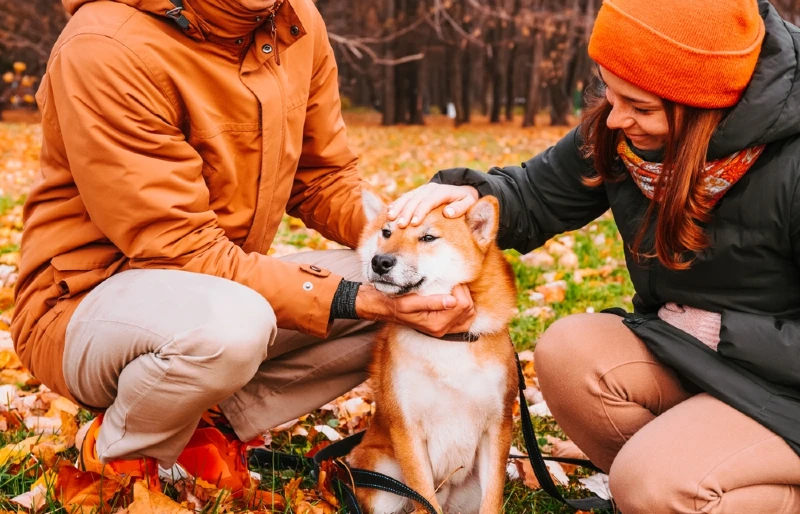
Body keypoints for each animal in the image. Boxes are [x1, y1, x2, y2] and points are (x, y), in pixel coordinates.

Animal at [350, 191, 520, 512]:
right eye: (386, 232)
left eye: (428, 237)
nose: (380, 261)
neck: (446, 341)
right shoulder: (407, 430)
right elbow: (424, 498)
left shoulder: (498, 426)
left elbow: (493, 500)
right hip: (383, 482)